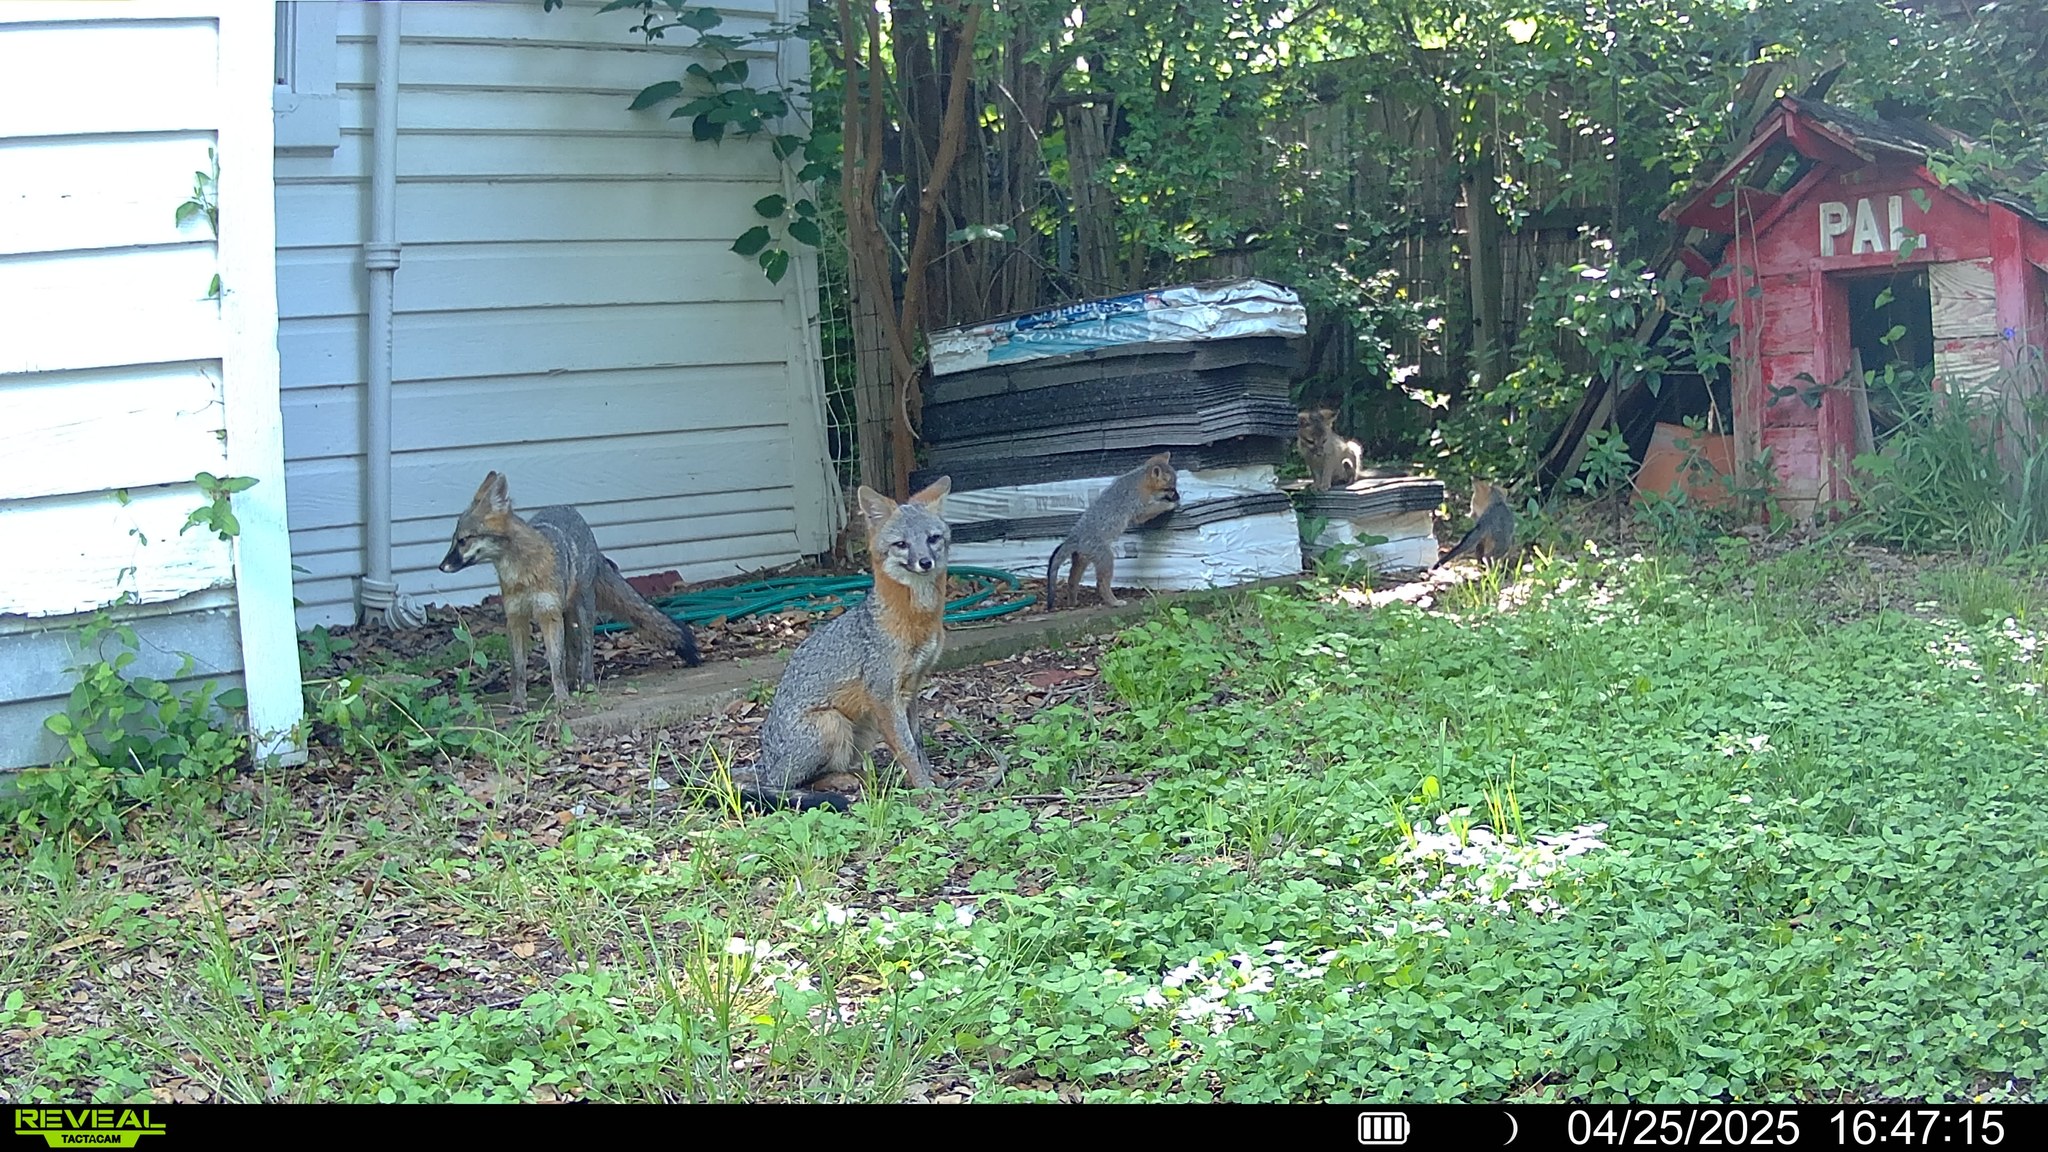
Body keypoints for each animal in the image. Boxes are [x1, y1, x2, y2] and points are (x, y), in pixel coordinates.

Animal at [438, 471, 702, 711]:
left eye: (463, 540)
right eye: (454, 540)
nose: (440, 567)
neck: (522, 573)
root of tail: (570, 510)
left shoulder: (548, 614)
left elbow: (556, 664)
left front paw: (562, 700)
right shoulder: (516, 617)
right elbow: (519, 669)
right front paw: (519, 702)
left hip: (582, 611)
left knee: (585, 647)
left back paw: (585, 682)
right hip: (564, 613)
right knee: (572, 649)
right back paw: (573, 680)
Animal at [731, 477, 954, 812]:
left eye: (933, 538)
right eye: (902, 544)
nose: (925, 562)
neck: (915, 620)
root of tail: (767, 763)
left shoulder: (911, 688)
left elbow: (917, 741)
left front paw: (930, 777)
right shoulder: (884, 694)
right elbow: (906, 747)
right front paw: (925, 788)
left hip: (863, 725)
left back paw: (863, 775)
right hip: (832, 723)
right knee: (789, 784)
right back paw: (843, 782)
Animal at [1044, 452, 1181, 611]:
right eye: (1171, 489)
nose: (1178, 497)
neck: (1137, 480)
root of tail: (1074, 537)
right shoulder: (1140, 511)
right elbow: (1157, 507)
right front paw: (1170, 505)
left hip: (1082, 562)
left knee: (1072, 581)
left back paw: (1073, 603)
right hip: (1107, 560)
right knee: (1101, 584)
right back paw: (1114, 602)